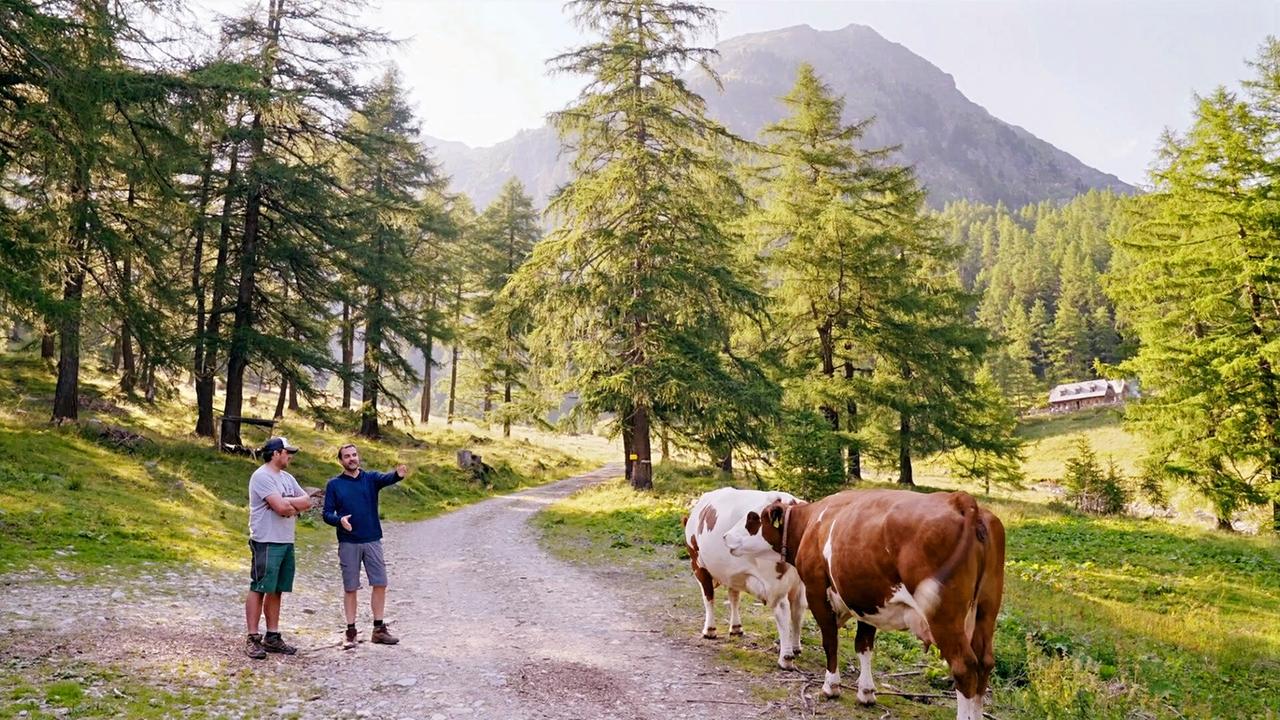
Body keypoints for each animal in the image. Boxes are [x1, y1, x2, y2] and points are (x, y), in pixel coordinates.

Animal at [682, 487, 806, 669]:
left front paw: (709, 630)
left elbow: (708, 597)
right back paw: (795, 647)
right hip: (799, 582)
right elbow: (734, 597)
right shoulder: (733, 573)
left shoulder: (699, 566)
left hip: (774, 582)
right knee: (798, 608)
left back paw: (786, 657)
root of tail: (789, 500)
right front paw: (736, 627)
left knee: (782, 610)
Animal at [724, 489, 1005, 720]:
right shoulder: (866, 599)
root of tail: (961, 500)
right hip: (986, 610)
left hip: (944, 616)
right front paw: (866, 692)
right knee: (984, 663)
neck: (812, 524)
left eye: (752, 518)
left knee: (964, 667)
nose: (726, 536)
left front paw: (831, 686)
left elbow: (831, 641)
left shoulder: (817, 591)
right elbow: (864, 645)